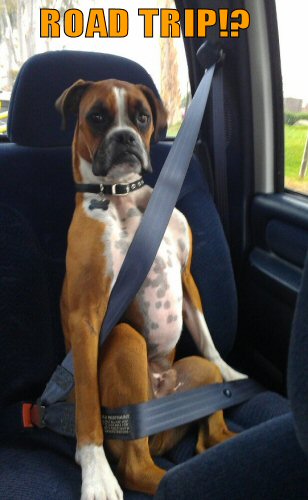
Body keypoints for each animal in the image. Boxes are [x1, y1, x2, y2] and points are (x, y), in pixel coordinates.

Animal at [56, 80, 247, 498]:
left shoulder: (187, 278)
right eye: (97, 117)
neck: (122, 197)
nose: (125, 137)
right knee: (136, 467)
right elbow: (87, 406)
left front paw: (231, 369)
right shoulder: (85, 316)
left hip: (198, 376)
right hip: (126, 341)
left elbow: (205, 333)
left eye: (142, 117)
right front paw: (95, 471)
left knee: (207, 435)